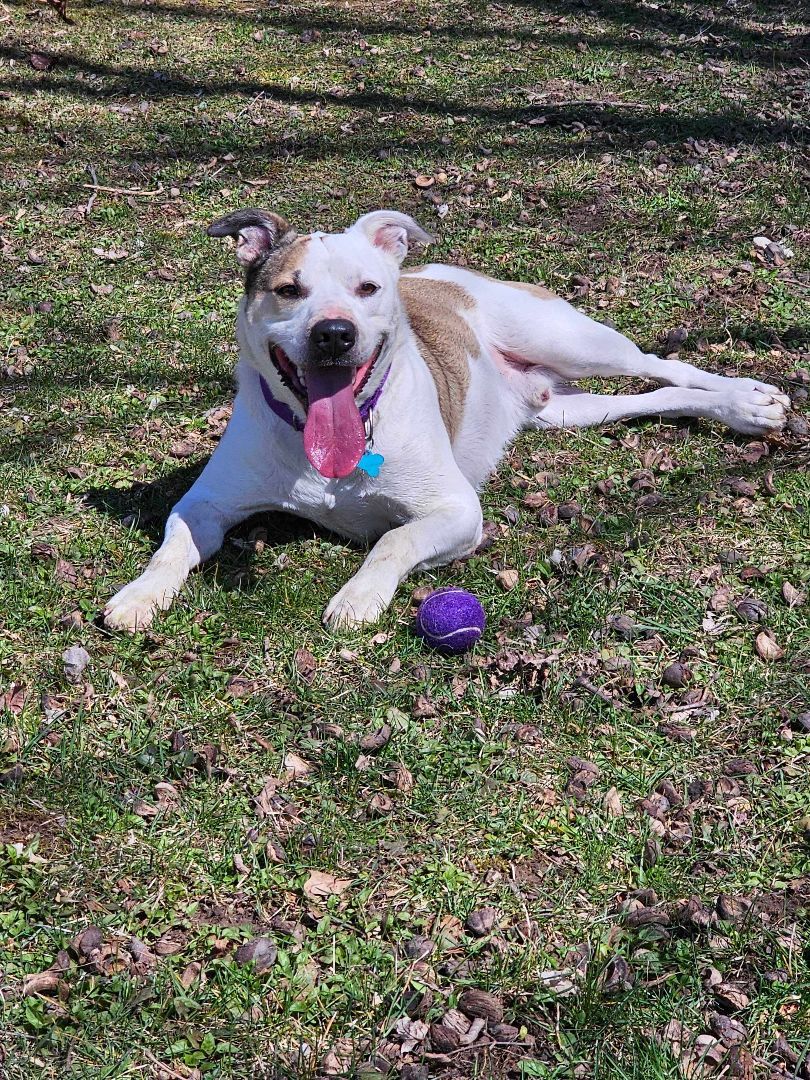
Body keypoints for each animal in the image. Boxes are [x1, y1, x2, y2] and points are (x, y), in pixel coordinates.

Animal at [103, 208, 794, 630]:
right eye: (289, 290)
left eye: (367, 289)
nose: (334, 334)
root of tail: (444, 272)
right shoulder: (206, 503)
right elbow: (173, 545)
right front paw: (139, 595)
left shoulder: (457, 511)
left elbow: (393, 539)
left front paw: (358, 595)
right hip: (564, 409)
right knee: (647, 398)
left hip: (572, 340)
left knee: (662, 363)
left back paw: (748, 400)